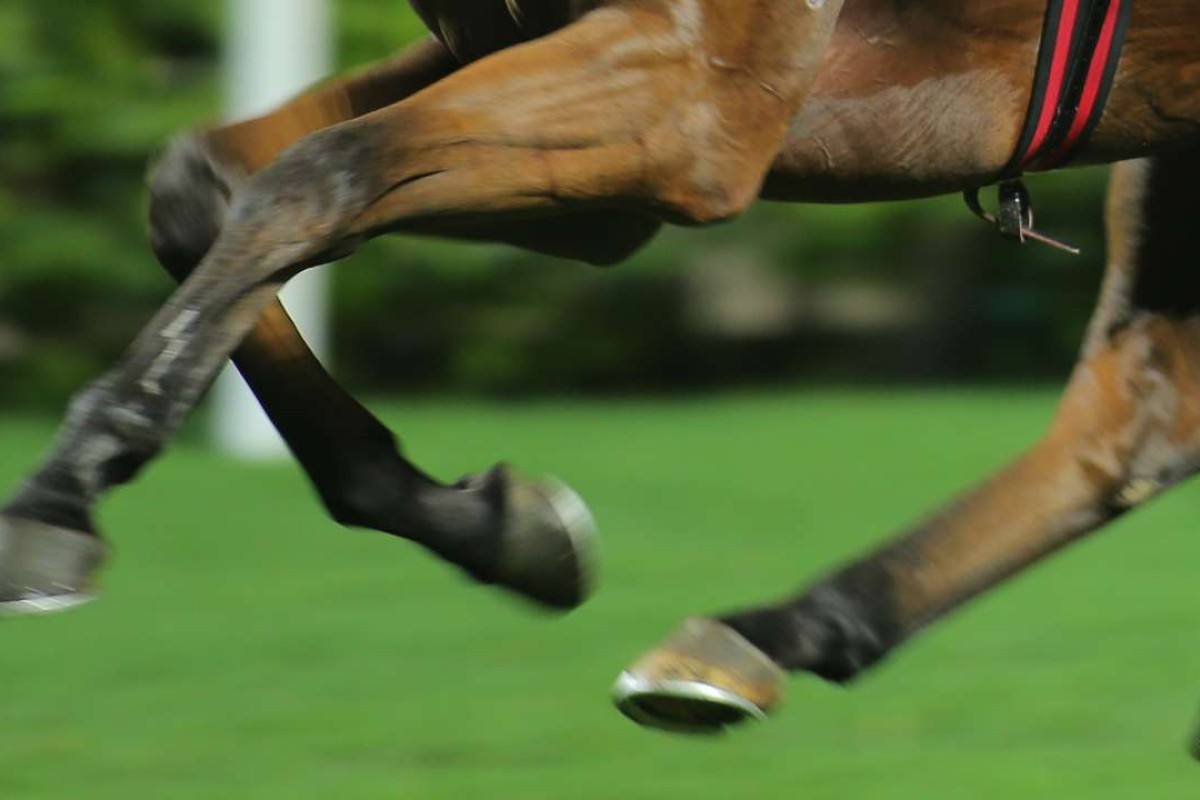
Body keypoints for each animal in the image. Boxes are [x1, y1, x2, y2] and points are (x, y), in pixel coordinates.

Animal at [1, 0, 1198, 749]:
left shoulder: (692, 109)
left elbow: (319, 174)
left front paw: (56, 502)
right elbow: (209, 181)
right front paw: (491, 524)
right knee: (1141, 410)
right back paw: (764, 635)